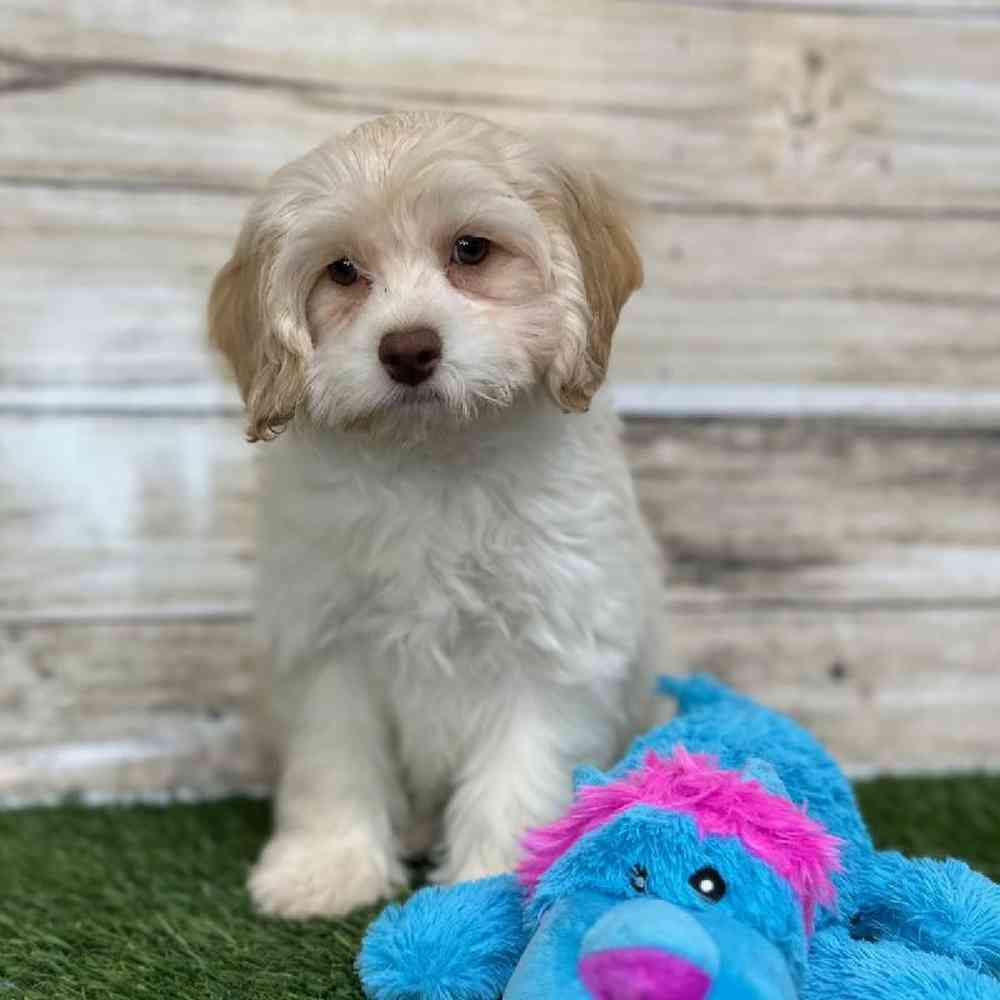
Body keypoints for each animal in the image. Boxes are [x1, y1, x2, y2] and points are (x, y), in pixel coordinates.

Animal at [208, 113, 668, 916]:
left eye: (471, 250)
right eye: (342, 272)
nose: (408, 348)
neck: (433, 459)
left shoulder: (550, 640)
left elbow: (518, 772)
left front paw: (492, 885)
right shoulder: (330, 641)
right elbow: (335, 761)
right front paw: (326, 868)